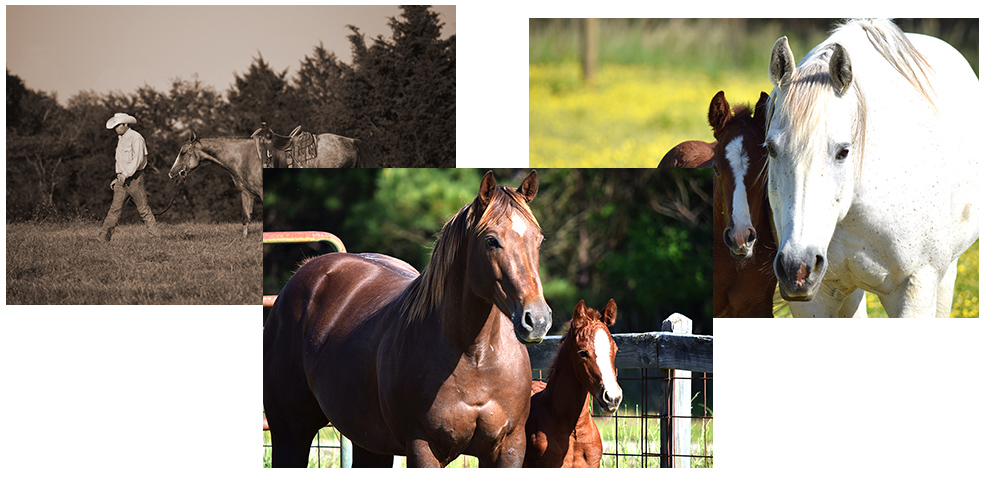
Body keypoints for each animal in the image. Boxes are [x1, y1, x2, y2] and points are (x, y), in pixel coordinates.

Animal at [262, 170, 552, 466]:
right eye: (491, 240)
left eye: (538, 240)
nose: (537, 320)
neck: (476, 357)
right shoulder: (422, 448)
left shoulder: (509, 448)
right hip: (290, 432)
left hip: (370, 443)